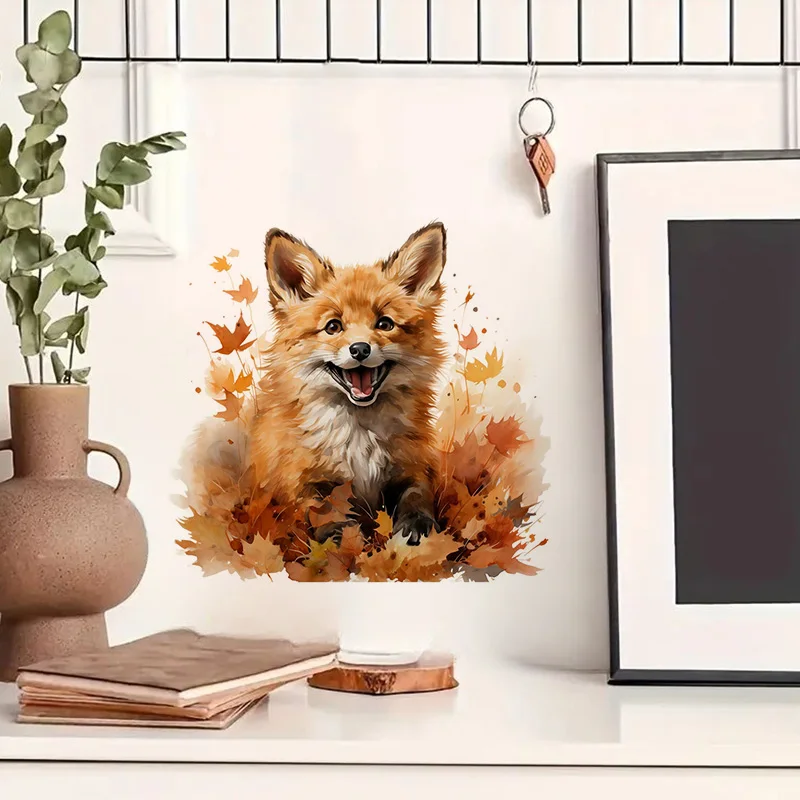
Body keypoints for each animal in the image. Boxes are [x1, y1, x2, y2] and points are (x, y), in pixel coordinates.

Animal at [249, 222, 448, 545]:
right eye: (333, 327)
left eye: (385, 324)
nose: (360, 349)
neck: (359, 435)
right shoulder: (303, 481)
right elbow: (325, 511)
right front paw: (343, 541)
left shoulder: (413, 466)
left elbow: (417, 497)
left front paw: (416, 529)